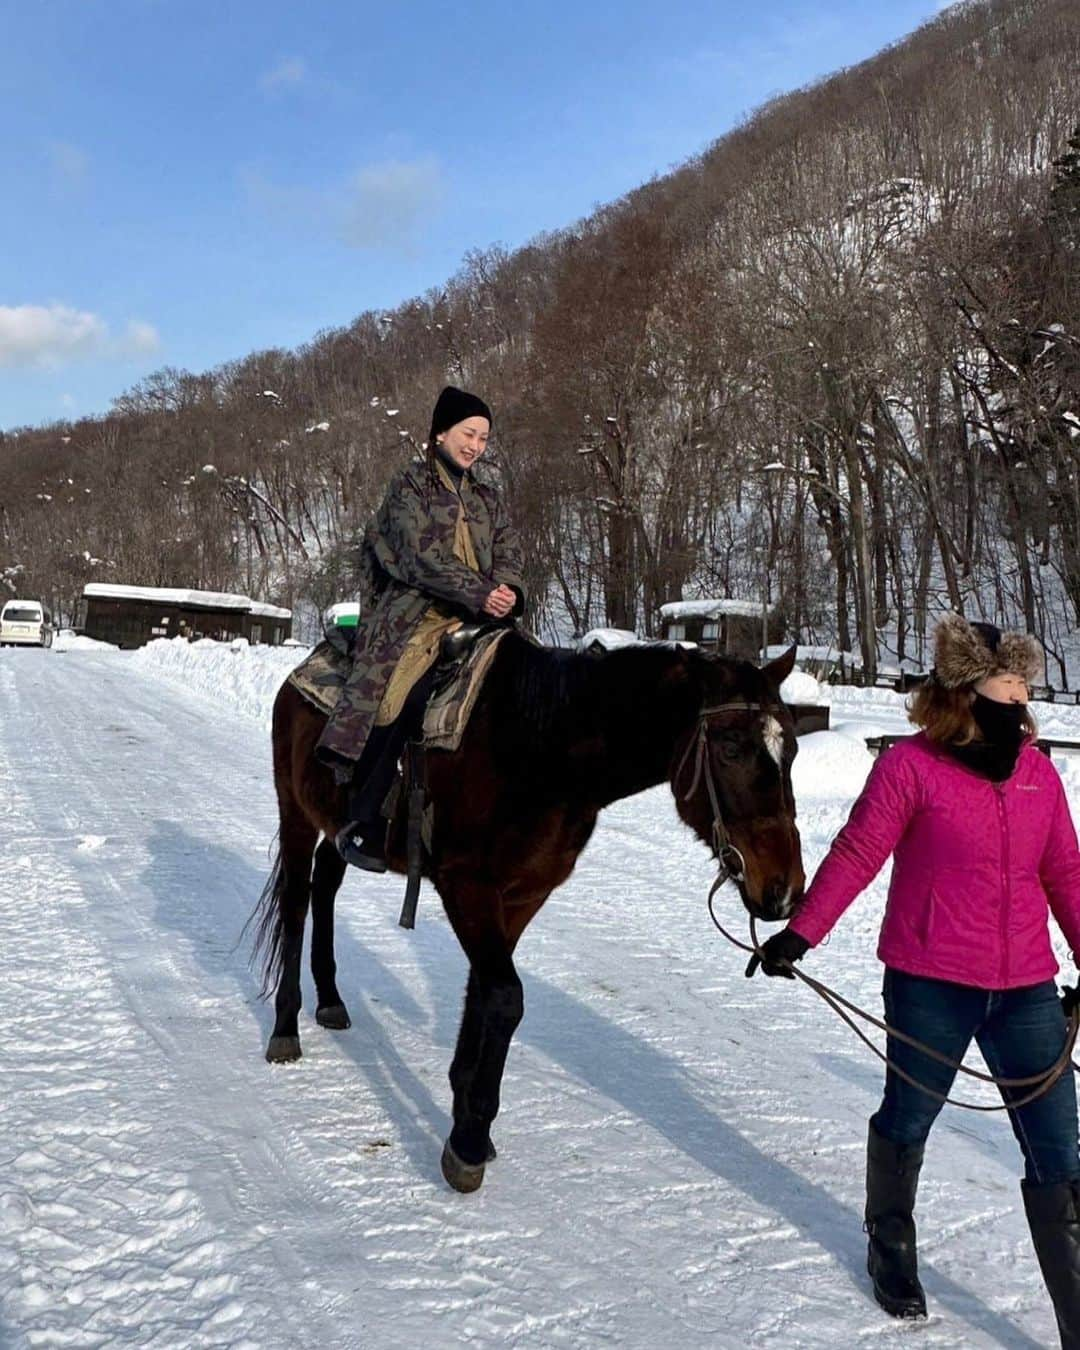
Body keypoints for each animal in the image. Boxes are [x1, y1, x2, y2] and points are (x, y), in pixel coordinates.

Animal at [247, 631, 799, 1193]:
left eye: (792, 749)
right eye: (730, 748)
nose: (784, 889)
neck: (543, 753)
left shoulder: (522, 896)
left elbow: (484, 992)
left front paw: (465, 1117)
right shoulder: (467, 887)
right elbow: (506, 997)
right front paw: (469, 1142)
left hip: (338, 828)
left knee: (325, 884)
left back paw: (331, 1000)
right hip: (294, 810)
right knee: (296, 901)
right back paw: (286, 1027)